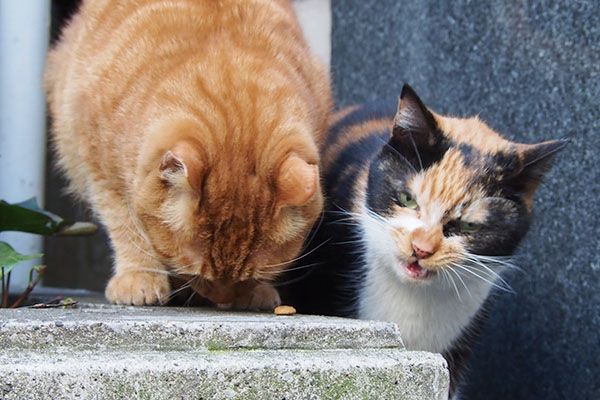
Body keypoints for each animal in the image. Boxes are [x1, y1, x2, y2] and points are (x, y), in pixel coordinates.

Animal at [44, 0, 330, 310]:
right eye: (197, 273)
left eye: (251, 278)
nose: (222, 301)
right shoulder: (99, 167)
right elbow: (126, 228)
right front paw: (140, 277)